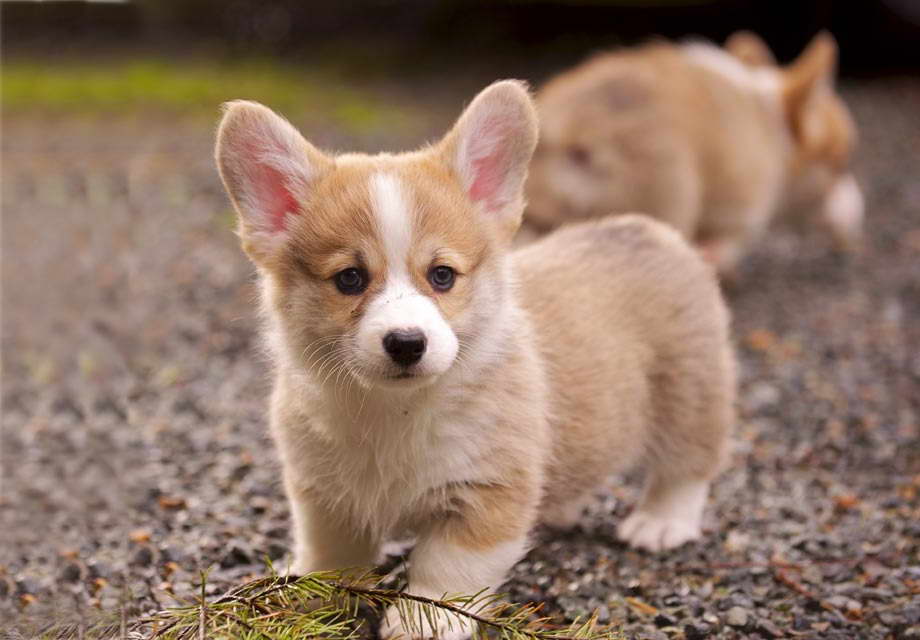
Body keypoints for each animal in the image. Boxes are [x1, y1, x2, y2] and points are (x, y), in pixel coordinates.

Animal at [214, 80, 732, 640]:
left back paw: (661, 522)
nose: (406, 342)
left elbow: (447, 568)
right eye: (349, 279)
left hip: (690, 393)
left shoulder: (486, 494)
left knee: (687, 464)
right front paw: (308, 598)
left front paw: (423, 620)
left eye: (442, 275)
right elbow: (331, 556)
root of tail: (646, 229)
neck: (394, 411)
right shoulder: (323, 494)